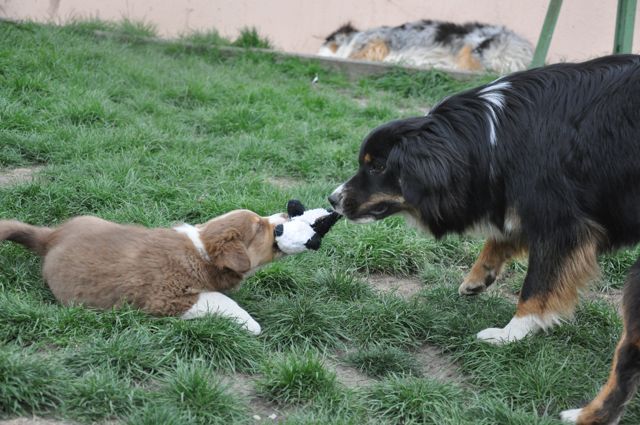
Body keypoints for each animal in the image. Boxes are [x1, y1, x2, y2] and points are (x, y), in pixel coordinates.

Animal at [0, 210, 284, 332]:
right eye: (259, 227)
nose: (285, 215)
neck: (201, 251)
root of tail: (50, 238)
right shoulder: (168, 298)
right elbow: (219, 299)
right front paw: (251, 324)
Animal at [330, 54, 640, 422]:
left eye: (377, 166)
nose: (332, 199)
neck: (492, 137)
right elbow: (501, 236)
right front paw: (478, 279)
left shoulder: (561, 223)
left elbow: (536, 286)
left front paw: (513, 333)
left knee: (628, 358)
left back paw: (585, 414)